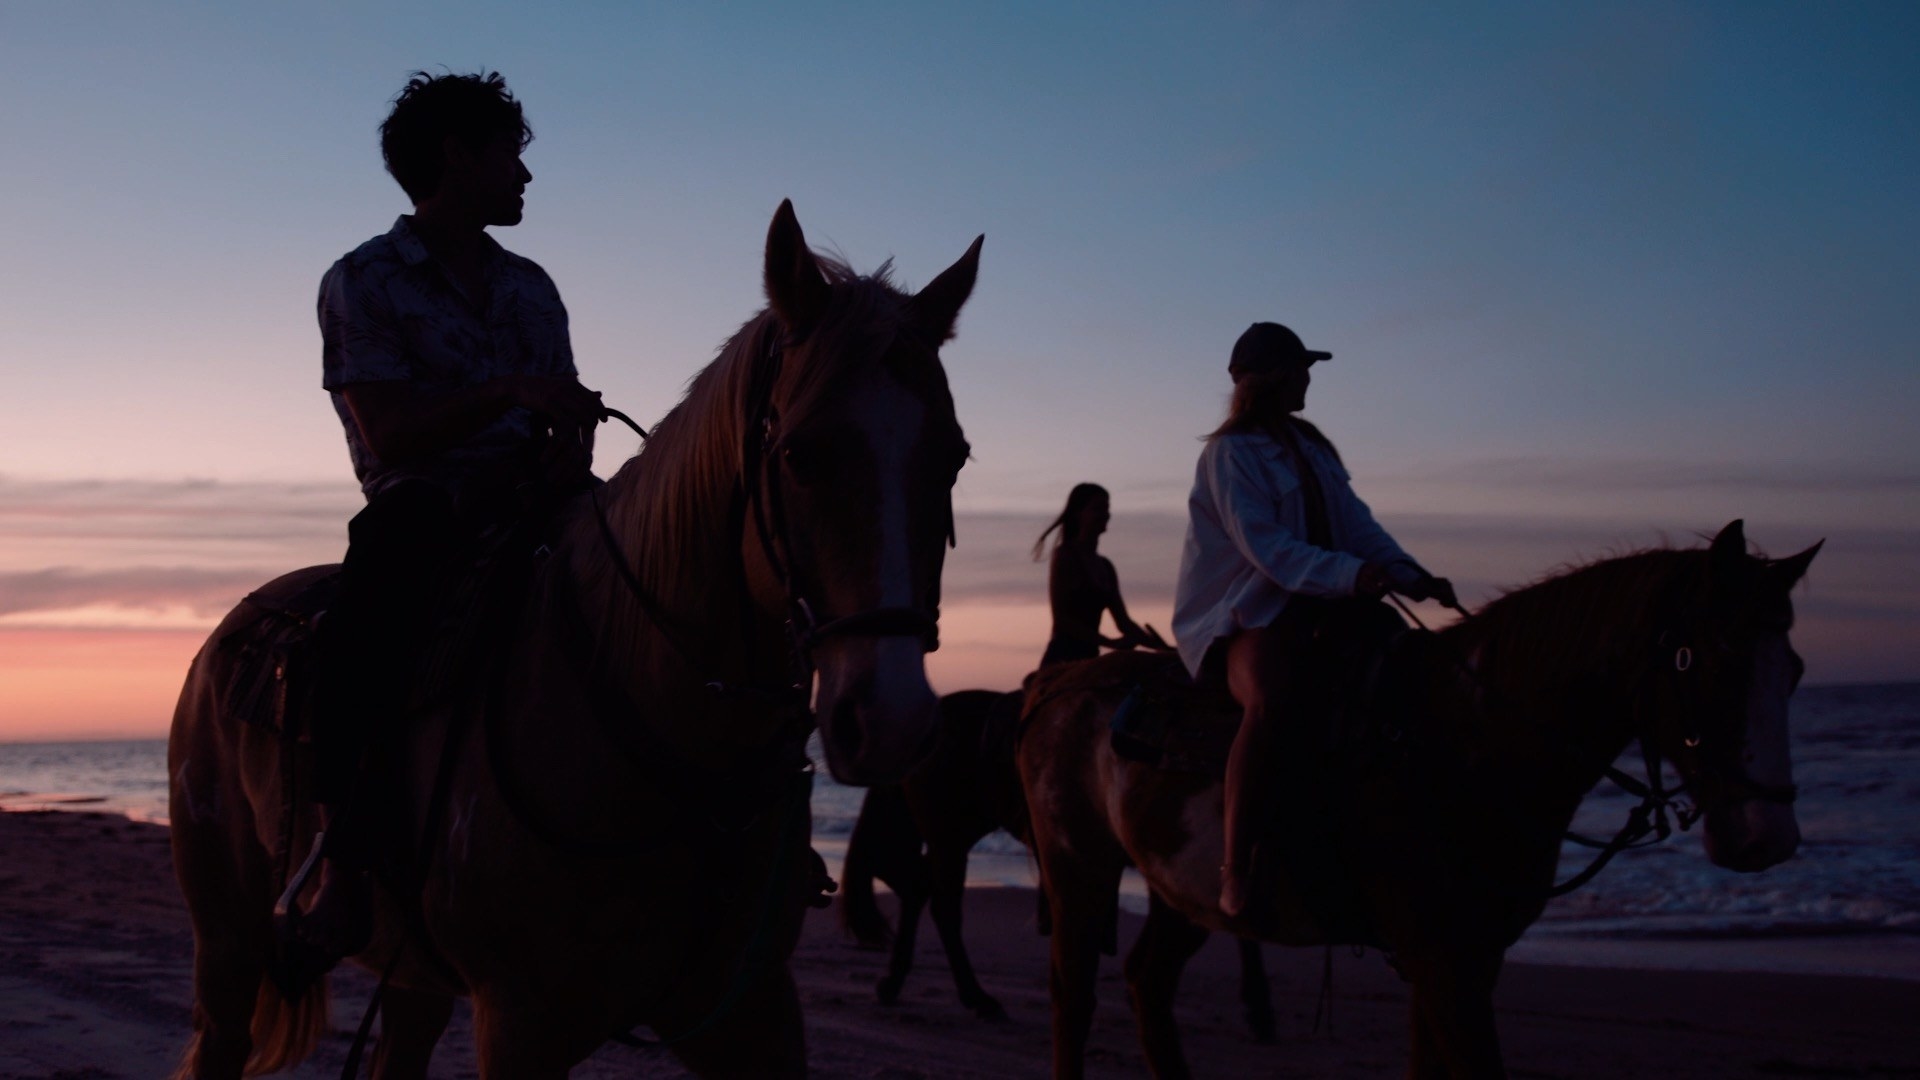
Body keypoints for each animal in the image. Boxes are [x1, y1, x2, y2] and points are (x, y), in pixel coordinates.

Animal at [161, 199, 990, 1068]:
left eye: (954, 457)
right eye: (799, 453)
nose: (891, 721)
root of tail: (237, 628)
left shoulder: (749, 1008)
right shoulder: (522, 1022)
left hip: (414, 978)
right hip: (229, 946)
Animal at [844, 687, 1282, 1037]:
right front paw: (1258, 1007)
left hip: (949, 838)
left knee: (918, 889)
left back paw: (895, 981)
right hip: (947, 838)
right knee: (943, 908)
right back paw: (978, 998)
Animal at [1021, 518, 1812, 1068]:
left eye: (1795, 669)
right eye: (1697, 659)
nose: (1764, 836)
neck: (1463, 738)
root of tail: (1056, 686)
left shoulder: (1466, 959)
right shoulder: (1443, 961)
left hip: (1178, 893)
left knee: (1147, 983)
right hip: (1078, 869)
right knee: (1073, 998)